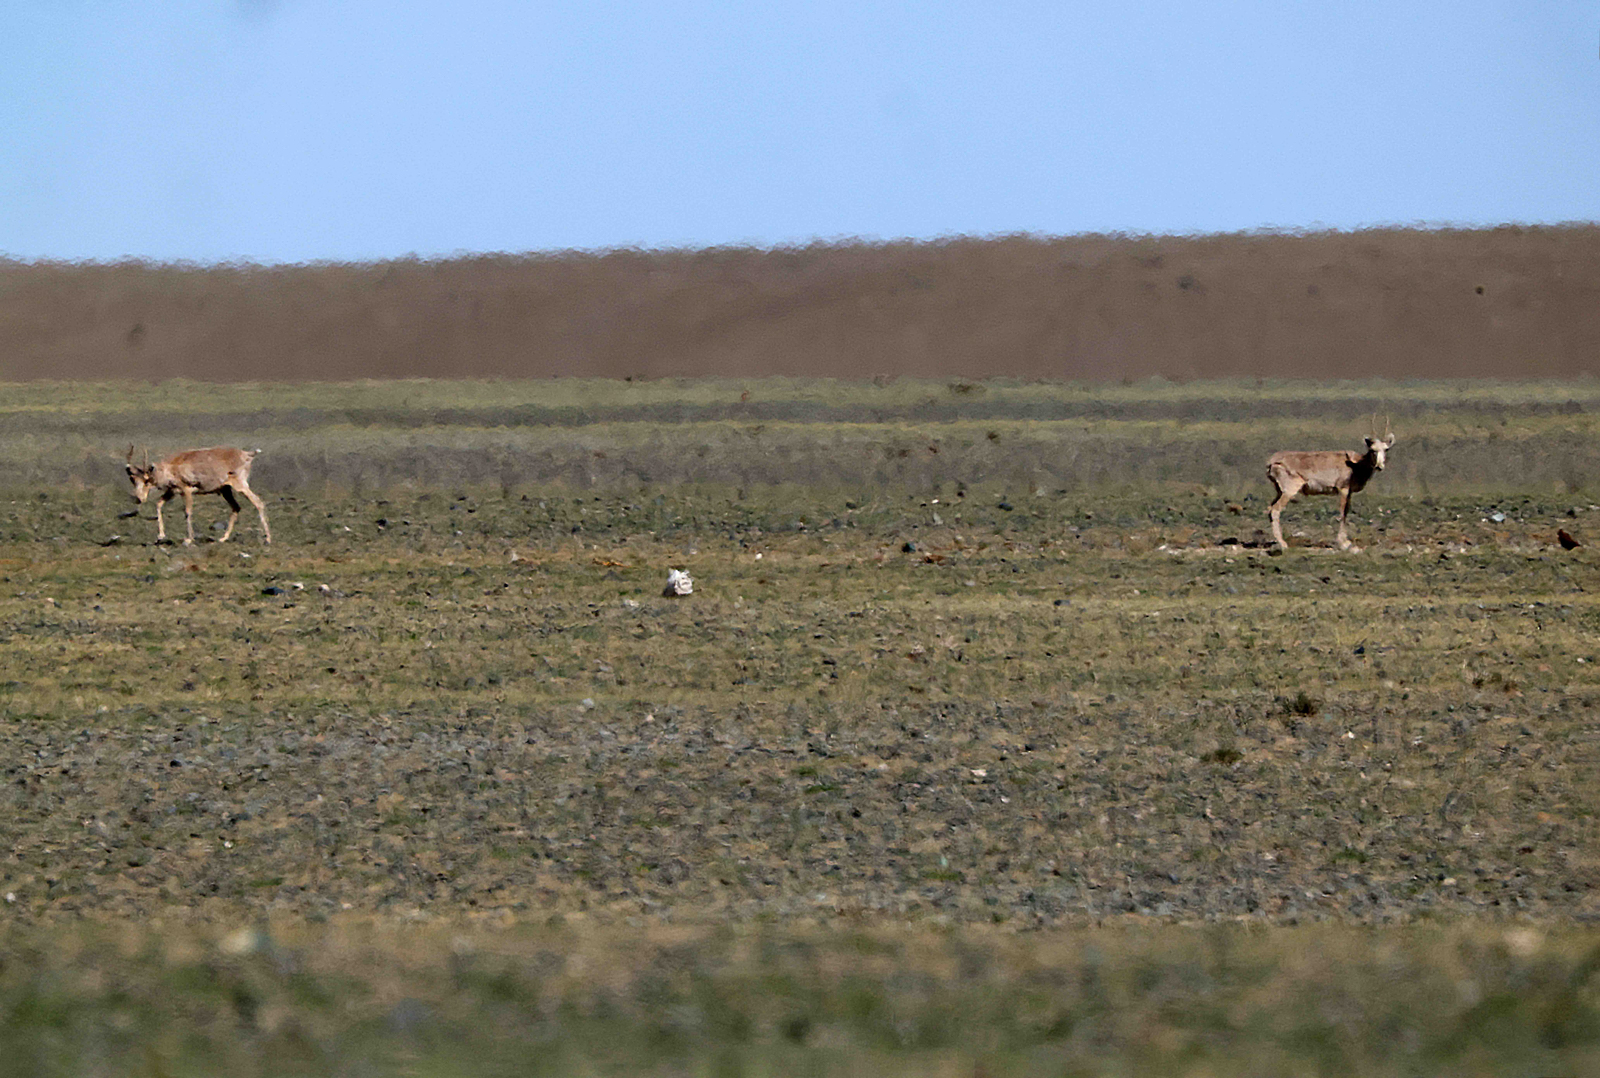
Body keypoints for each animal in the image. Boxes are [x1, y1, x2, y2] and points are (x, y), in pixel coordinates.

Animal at [124, 446, 272, 545]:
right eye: (133, 479)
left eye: (146, 480)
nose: (139, 498)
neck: (171, 467)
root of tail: (247, 454)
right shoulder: (172, 492)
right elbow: (159, 504)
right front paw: (160, 535)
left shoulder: (186, 490)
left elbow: (188, 512)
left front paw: (189, 539)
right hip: (226, 490)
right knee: (236, 507)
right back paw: (223, 538)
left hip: (240, 486)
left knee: (258, 503)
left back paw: (268, 539)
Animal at [1266, 420, 1394, 551]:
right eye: (1372, 449)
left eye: (1386, 449)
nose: (1379, 466)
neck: (1356, 464)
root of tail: (1272, 462)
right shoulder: (1343, 489)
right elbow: (1343, 513)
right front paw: (1343, 543)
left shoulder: (1349, 493)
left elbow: (1346, 512)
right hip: (1289, 491)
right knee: (1275, 509)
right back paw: (1283, 544)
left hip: (1280, 491)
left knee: (1270, 508)